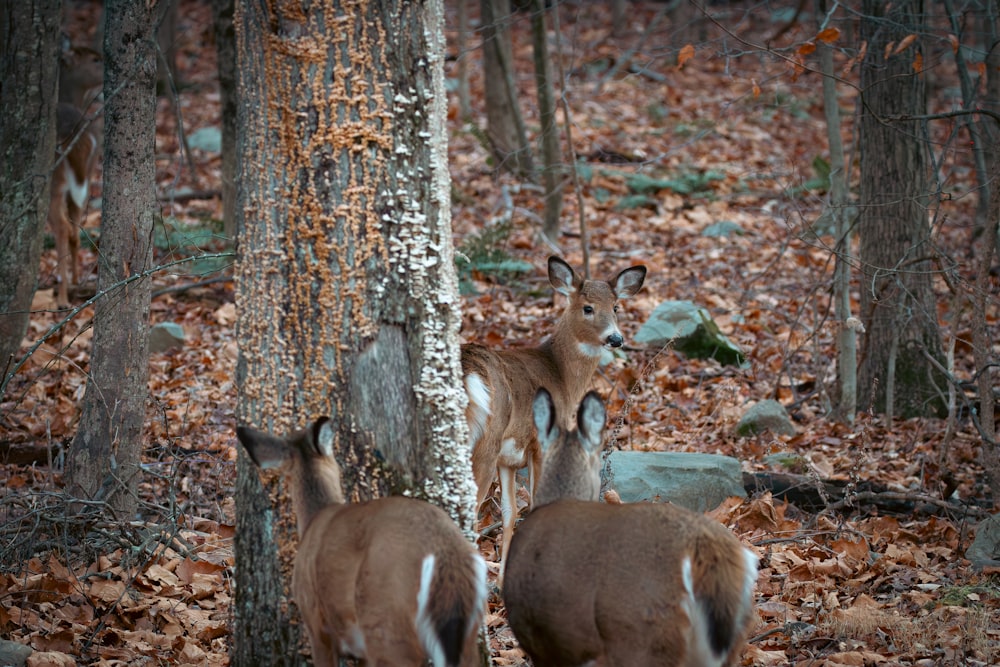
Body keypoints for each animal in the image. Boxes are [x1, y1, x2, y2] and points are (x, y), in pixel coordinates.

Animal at [462, 256, 648, 580]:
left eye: (616, 307)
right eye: (587, 308)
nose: (615, 338)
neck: (560, 374)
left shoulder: (508, 459)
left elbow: (510, 512)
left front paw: (504, 576)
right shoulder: (540, 442)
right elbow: (536, 504)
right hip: (485, 441)